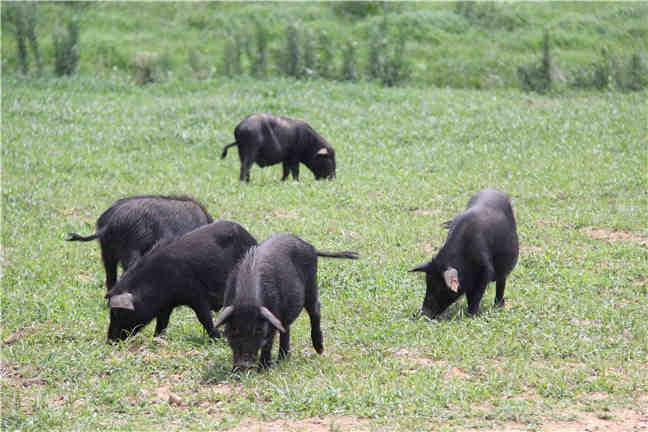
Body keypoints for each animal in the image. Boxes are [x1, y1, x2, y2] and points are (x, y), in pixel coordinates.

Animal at [105, 221, 256, 342]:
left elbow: (204, 318)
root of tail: (253, 240)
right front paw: (157, 338)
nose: (110, 341)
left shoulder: (197, 295)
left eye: (118, 313)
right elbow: (162, 322)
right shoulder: (166, 306)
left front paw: (216, 339)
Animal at [216, 235, 360, 370]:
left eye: (258, 330)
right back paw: (283, 359)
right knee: (286, 328)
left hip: (312, 285)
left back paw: (319, 350)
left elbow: (268, 343)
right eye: (234, 329)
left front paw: (263, 369)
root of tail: (310, 246)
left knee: (315, 310)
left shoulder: (272, 315)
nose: (244, 365)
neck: (247, 300)